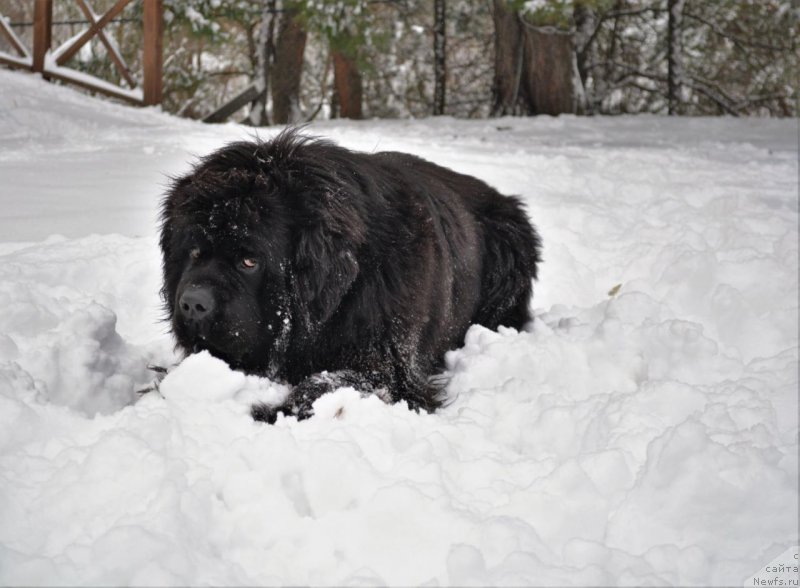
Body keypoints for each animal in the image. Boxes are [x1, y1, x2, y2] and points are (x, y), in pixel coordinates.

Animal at [159, 130, 540, 420]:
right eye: (194, 252)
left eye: (249, 261)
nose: (193, 304)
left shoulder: (389, 367)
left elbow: (329, 385)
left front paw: (272, 411)